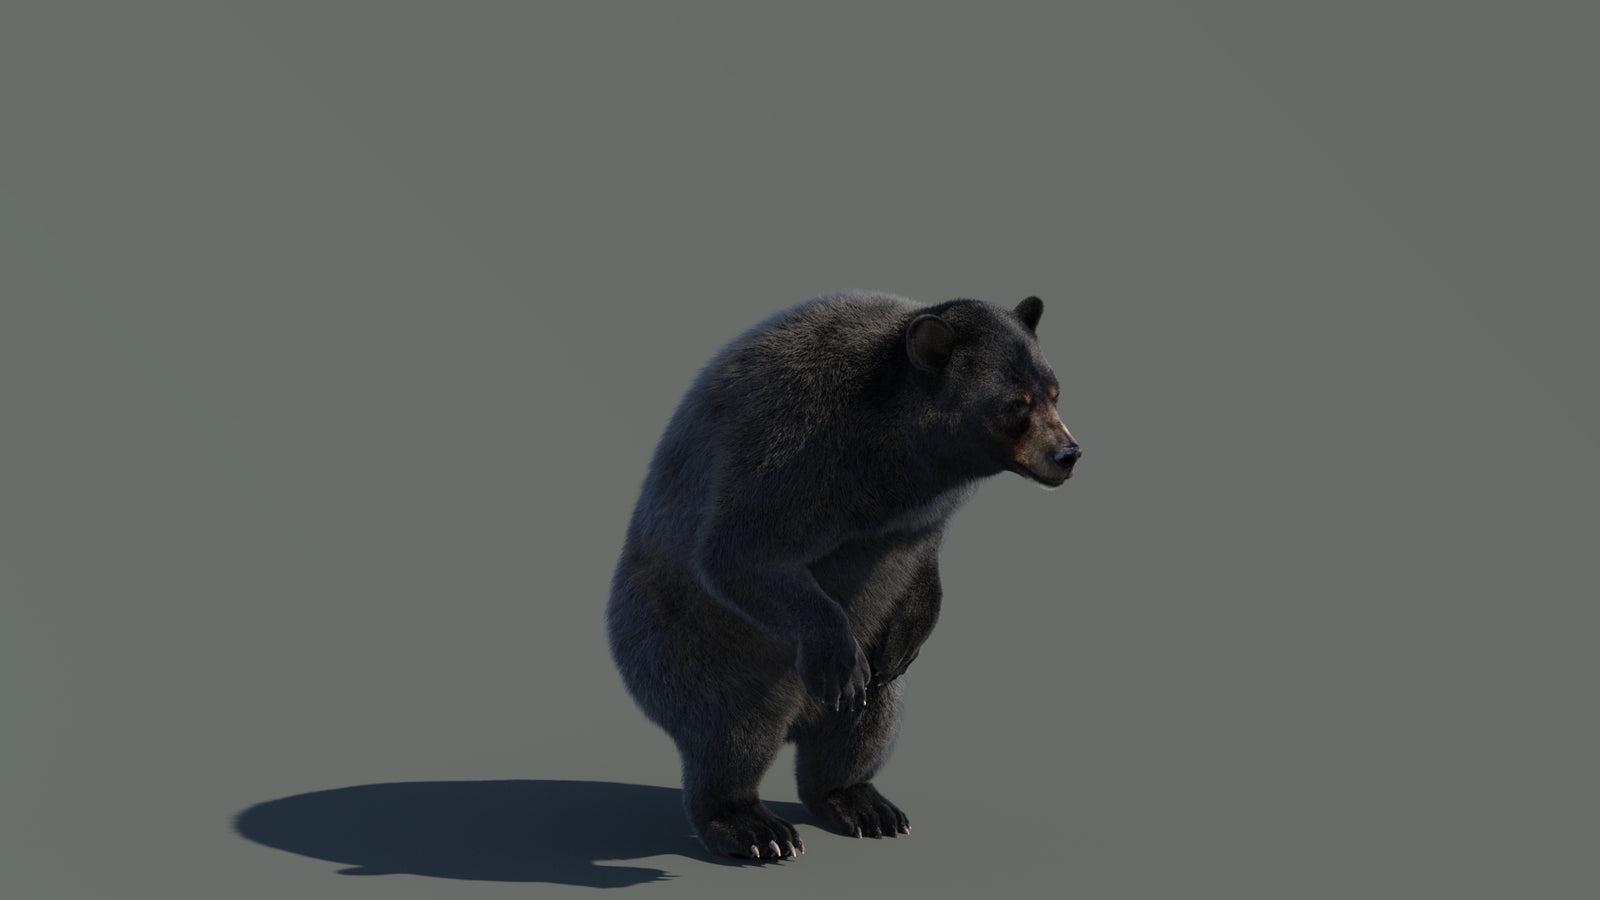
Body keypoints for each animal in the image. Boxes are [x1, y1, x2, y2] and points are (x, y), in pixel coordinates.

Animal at [606, 290, 1080, 860]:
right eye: (1016, 404)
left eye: (1054, 391)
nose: (1069, 454)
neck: (898, 455)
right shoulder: (797, 442)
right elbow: (739, 552)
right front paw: (838, 661)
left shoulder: (924, 512)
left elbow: (921, 567)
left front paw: (905, 639)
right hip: (693, 649)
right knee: (731, 732)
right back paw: (754, 827)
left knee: (865, 723)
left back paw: (862, 803)